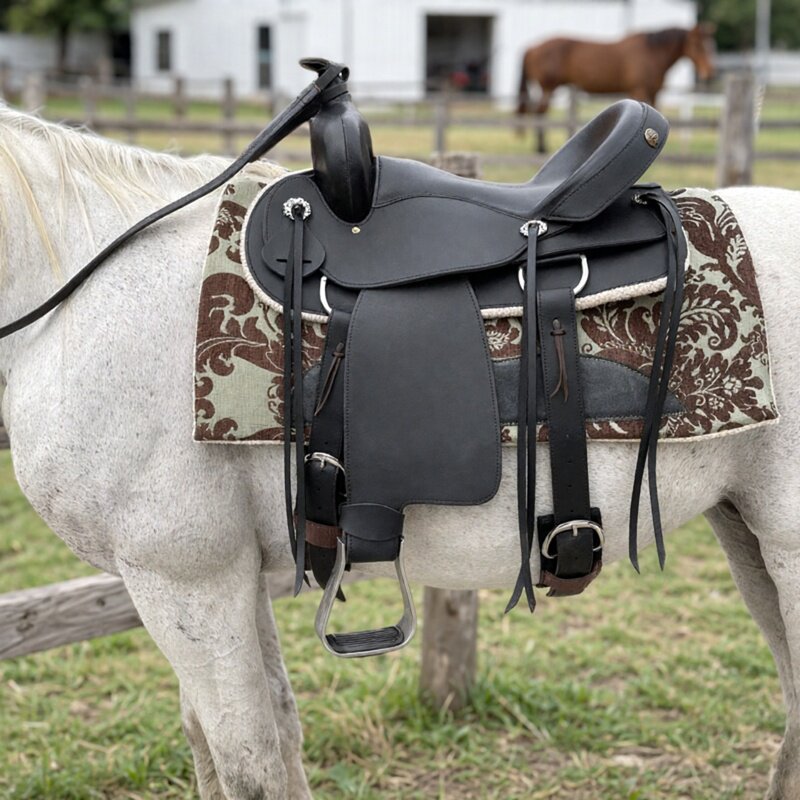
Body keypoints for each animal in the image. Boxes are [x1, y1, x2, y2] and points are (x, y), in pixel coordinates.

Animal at [1, 105, 799, 800]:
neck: (74, 298)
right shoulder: (228, 573)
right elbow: (267, 737)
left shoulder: (182, 574)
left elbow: (247, 764)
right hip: (743, 531)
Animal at [517, 24, 716, 153]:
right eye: (697, 45)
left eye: (710, 46)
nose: (709, 73)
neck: (651, 53)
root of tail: (532, 47)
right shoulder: (639, 90)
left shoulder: (654, 93)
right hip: (548, 88)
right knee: (540, 112)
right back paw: (541, 148)